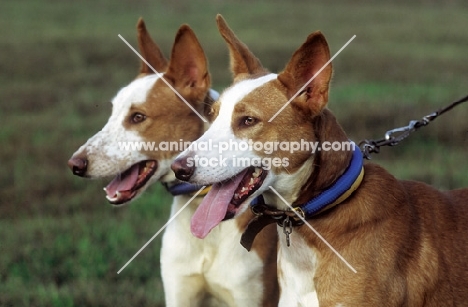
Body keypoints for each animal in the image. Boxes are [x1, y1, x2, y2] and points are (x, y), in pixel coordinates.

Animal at [66, 18, 278, 307]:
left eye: (138, 117)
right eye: (112, 113)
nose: (75, 164)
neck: (200, 207)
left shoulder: (250, 296)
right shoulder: (180, 294)